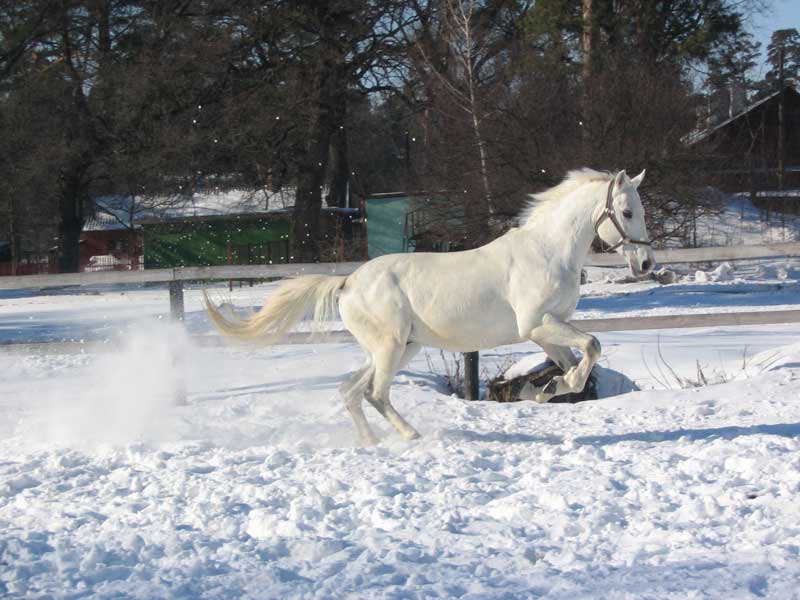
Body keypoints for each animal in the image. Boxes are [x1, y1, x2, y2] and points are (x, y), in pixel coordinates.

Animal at [203, 169, 652, 446]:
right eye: (627, 211)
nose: (646, 264)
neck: (546, 252)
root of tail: (348, 283)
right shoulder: (537, 324)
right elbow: (592, 346)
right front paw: (543, 390)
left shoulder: (547, 329)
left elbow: (574, 366)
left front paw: (541, 390)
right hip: (389, 347)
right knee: (376, 393)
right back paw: (409, 436)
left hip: (401, 347)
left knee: (351, 391)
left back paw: (372, 442)